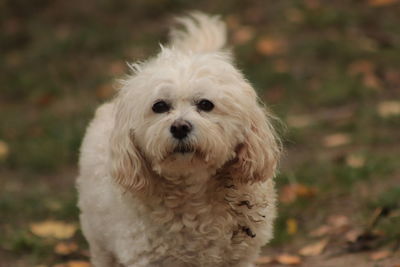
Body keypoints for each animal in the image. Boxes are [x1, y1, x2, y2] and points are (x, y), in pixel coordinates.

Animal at [76, 11, 280, 266]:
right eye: (159, 106)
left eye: (206, 104)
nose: (180, 127)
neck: (192, 188)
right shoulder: (146, 256)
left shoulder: (240, 257)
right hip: (99, 240)